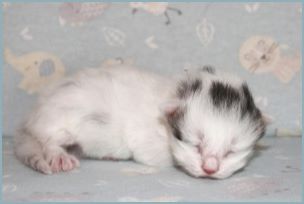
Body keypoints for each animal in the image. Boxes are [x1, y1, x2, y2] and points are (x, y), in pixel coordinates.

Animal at [14, 65, 266, 178]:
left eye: (232, 151)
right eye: (194, 144)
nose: (210, 169)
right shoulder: (146, 141)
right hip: (60, 121)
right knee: (49, 139)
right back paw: (59, 156)